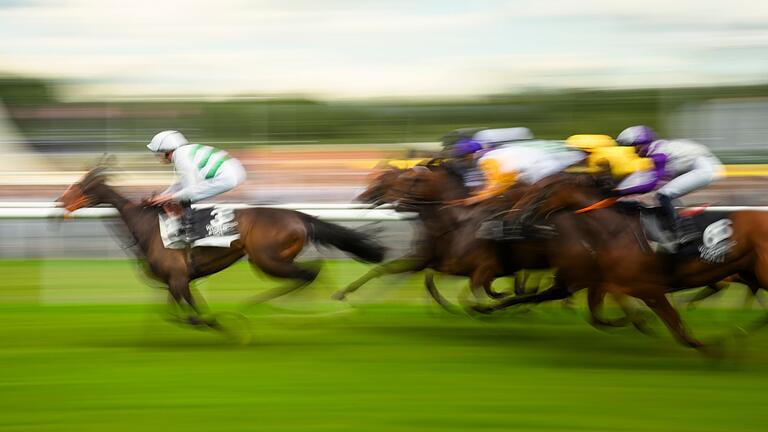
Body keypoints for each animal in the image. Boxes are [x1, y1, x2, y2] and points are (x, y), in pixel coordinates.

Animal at [57, 167, 388, 326]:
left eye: (82, 185)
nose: (59, 201)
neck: (147, 226)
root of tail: (298, 216)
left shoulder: (178, 279)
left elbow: (193, 314)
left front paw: (222, 324)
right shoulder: (176, 281)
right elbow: (177, 312)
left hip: (266, 259)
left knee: (309, 273)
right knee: (311, 273)